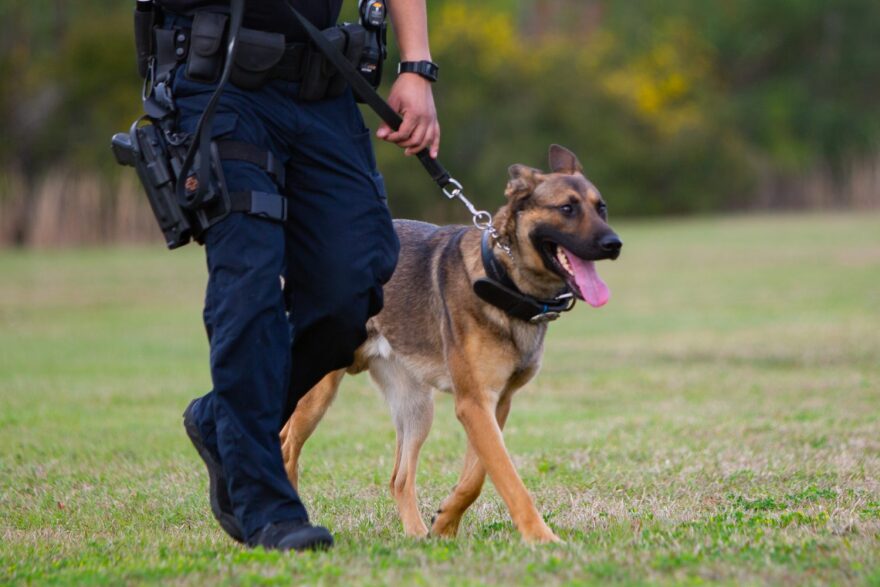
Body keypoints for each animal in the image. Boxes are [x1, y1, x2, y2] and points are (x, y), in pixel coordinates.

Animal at [280, 145, 620, 544]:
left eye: (601, 208)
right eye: (567, 208)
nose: (614, 244)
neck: (503, 278)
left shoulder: (493, 404)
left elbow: (477, 476)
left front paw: (444, 524)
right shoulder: (474, 404)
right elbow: (508, 478)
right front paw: (541, 538)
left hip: (416, 407)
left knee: (399, 478)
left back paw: (416, 535)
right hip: (317, 388)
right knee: (286, 446)